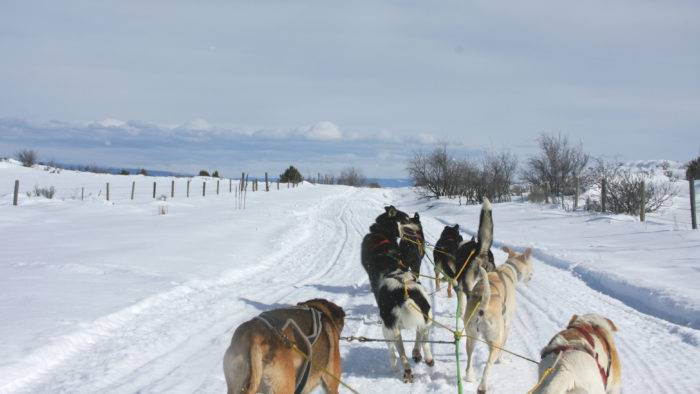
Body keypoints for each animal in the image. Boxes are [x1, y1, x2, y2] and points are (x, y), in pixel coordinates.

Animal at [462, 248, 532, 392]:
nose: (532, 274)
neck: (507, 271)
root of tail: (482, 306)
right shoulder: (507, 325)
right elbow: (503, 348)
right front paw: (502, 360)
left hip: (471, 338)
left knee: (469, 358)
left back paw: (469, 377)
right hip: (495, 341)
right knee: (488, 366)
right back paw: (482, 387)